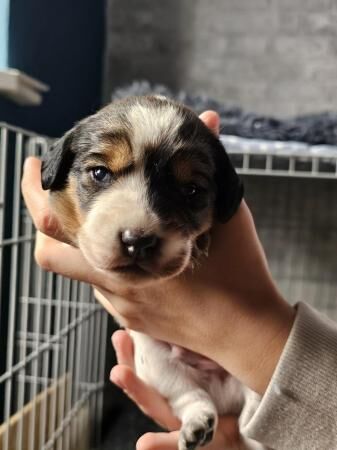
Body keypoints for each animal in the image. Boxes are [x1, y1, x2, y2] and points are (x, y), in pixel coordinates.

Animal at [40, 96, 264, 450]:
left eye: (191, 191)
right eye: (100, 173)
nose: (138, 241)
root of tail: (223, 395)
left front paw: (200, 244)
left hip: (243, 371)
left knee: (253, 410)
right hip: (158, 366)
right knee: (193, 397)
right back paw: (198, 424)